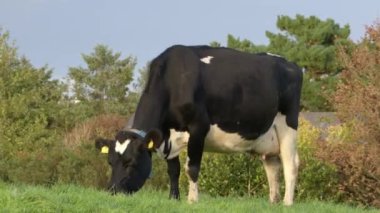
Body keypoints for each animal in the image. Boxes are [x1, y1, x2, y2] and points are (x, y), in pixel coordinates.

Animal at [95, 45, 302, 206]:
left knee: (290, 164)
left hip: (288, 127)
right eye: (110, 162)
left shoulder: (198, 128)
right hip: (267, 138)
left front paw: (192, 200)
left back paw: (287, 203)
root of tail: (292, 65)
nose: (112, 190)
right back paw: (273, 202)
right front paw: (174, 198)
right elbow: (174, 170)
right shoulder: (168, 136)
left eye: (131, 163)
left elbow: (192, 167)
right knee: (272, 166)